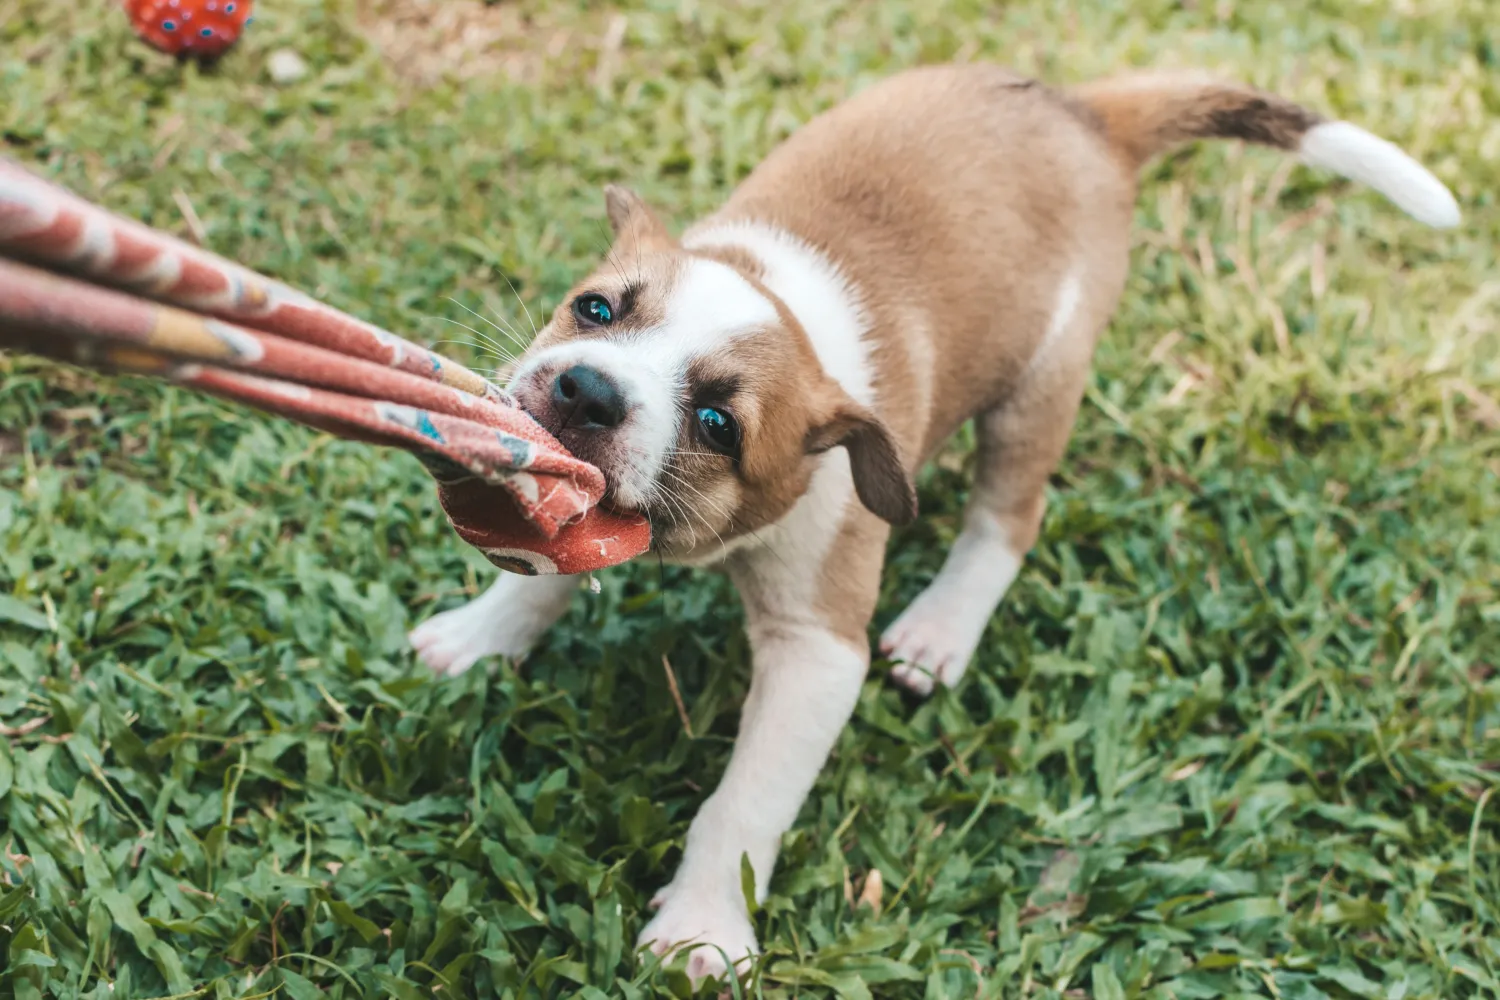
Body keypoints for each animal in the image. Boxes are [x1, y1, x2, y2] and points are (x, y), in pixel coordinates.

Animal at [408, 66, 1452, 983]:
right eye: (595, 308)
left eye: (716, 424)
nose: (586, 391)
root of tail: (1085, 113)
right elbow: (542, 567)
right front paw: (484, 636)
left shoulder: (818, 653)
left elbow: (744, 804)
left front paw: (705, 925)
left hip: (1038, 390)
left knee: (1008, 518)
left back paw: (946, 626)